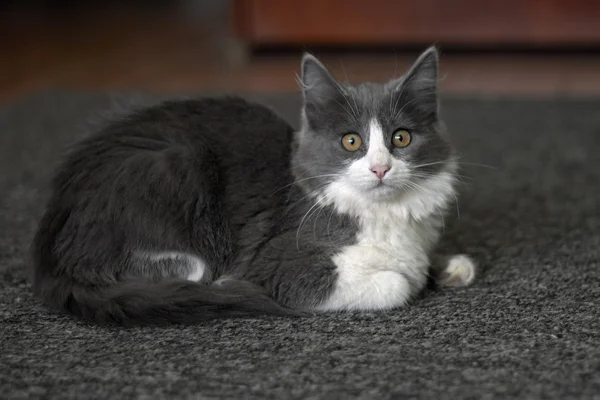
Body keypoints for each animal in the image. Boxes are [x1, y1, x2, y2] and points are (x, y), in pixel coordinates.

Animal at [31, 47, 474, 326]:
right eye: (352, 142)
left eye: (401, 138)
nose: (381, 168)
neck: (384, 213)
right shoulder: (280, 260)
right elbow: (396, 282)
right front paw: (409, 275)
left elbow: (419, 261)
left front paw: (451, 266)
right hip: (173, 165)